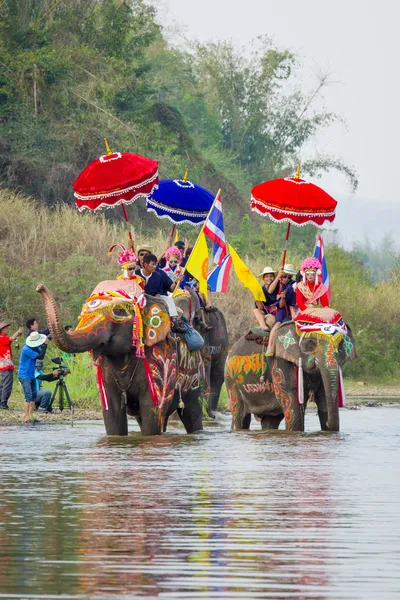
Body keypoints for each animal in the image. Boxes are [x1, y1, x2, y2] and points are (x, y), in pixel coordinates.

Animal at [36, 282, 205, 436]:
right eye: (82, 313)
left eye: (118, 312)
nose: (39, 287)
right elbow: (111, 410)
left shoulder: (161, 358)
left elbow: (152, 408)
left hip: (195, 377)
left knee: (192, 413)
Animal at [223, 310, 358, 432]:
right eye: (310, 343)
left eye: (340, 344)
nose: (327, 423)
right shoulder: (280, 362)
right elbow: (291, 401)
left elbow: (324, 396)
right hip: (231, 381)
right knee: (240, 415)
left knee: (270, 420)